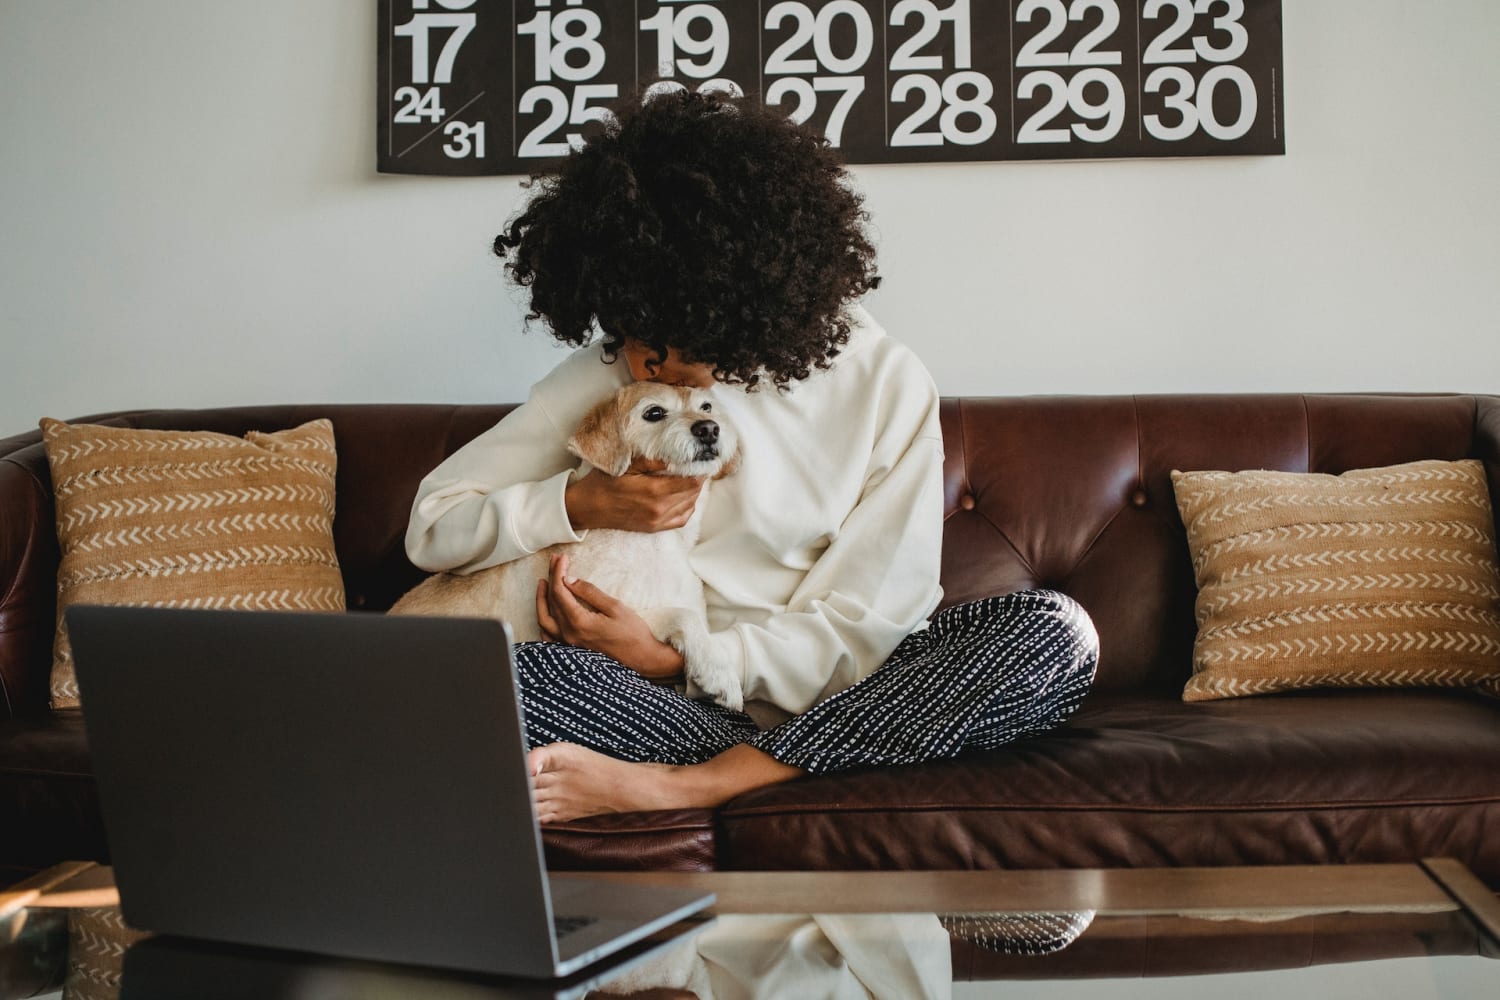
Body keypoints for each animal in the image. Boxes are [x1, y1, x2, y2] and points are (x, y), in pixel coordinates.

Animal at [387, 380, 738, 710]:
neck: (653, 541)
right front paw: (718, 670)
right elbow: (682, 616)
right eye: (654, 413)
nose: (709, 428)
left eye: (706, 407)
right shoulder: (601, 613)